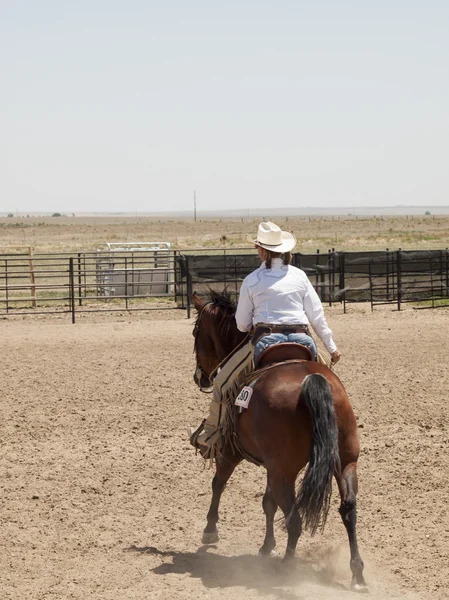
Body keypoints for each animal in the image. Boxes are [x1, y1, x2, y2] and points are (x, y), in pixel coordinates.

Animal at [191, 290, 366, 592]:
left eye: (196, 332)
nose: (199, 376)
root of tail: (311, 380)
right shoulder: (271, 465)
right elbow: (267, 502)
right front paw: (266, 546)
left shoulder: (232, 450)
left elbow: (219, 483)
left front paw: (210, 531)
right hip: (343, 461)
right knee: (348, 509)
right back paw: (357, 575)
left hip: (284, 471)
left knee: (295, 519)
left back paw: (286, 568)